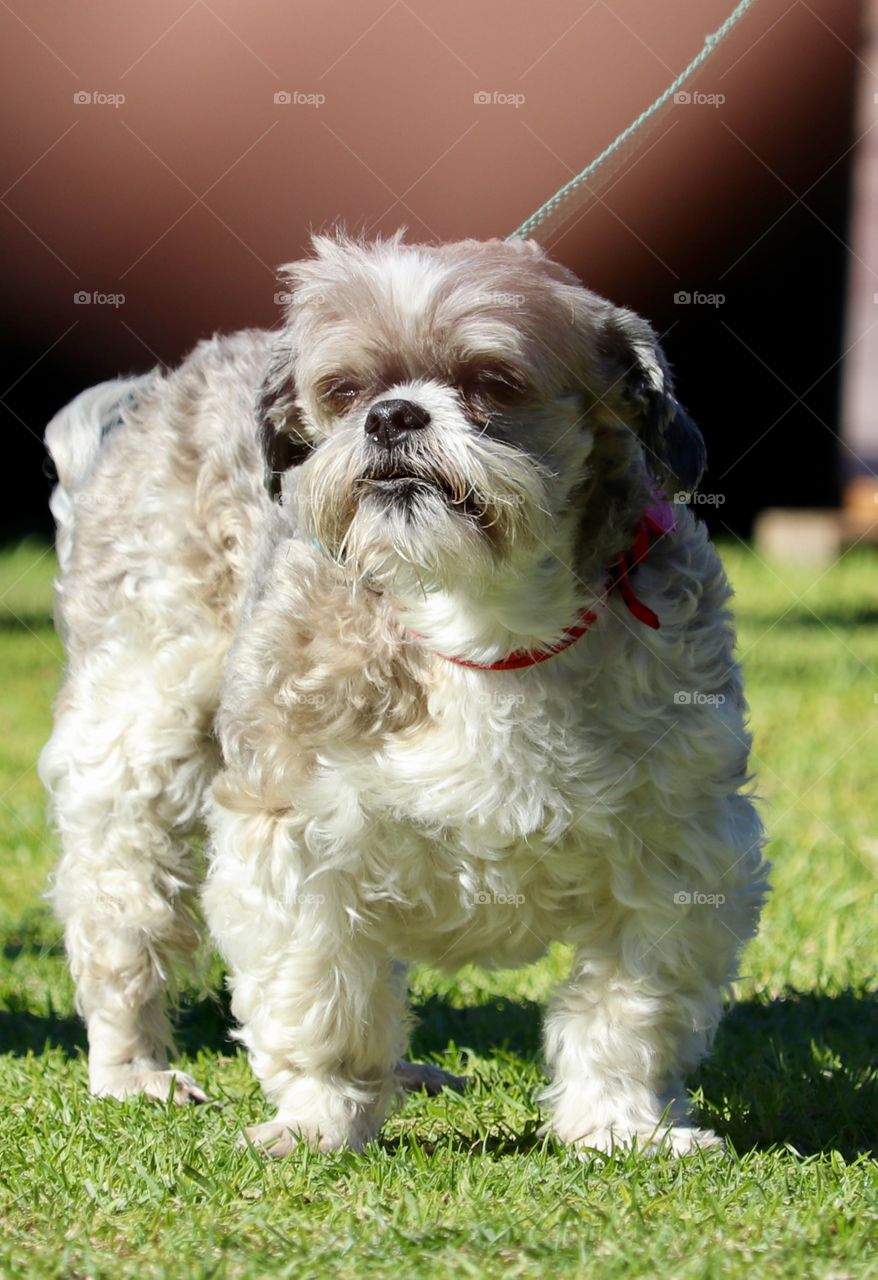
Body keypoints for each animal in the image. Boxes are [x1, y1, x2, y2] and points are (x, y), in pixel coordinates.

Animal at [41, 232, 767, 1162]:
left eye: (493, 380)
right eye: (343, 392)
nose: (391, 416)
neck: (479, 621)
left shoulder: (680, 847)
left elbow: (630, 1009)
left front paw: (622, 1123)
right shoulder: (290, 831)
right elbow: (319, 996)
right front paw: (320, 1116)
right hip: (136, 747)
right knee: (120, 921)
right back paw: (134, 1070)